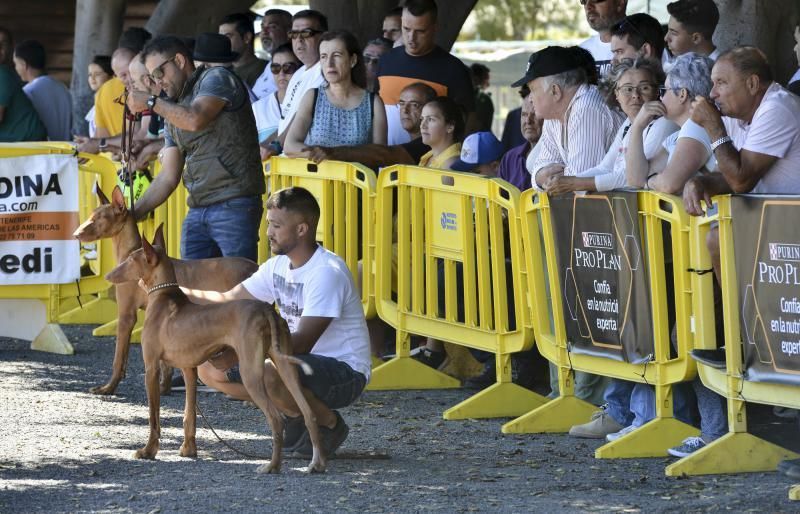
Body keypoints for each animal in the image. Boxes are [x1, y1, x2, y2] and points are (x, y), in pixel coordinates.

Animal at [74, 186, 258, 394]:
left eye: (98, 218)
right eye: (91, 215)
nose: (75, 234)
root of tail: (255, 267)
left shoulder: (126, 315)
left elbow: (118, 359)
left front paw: (108, 387)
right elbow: (164, 363)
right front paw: (164, 387)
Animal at [105, 227, 324, 472]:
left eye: (131, 260)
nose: (108, 275)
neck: (164, 295)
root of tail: (266, 310)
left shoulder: (151, 368)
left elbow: (154, 417)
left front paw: (148, 451)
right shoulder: (189, 370)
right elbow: (189, 414)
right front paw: (189, 449)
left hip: (250, 373)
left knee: (276, 419)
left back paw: (272, 466)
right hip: (286, 367)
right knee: (309, 413)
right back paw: (318, 462)